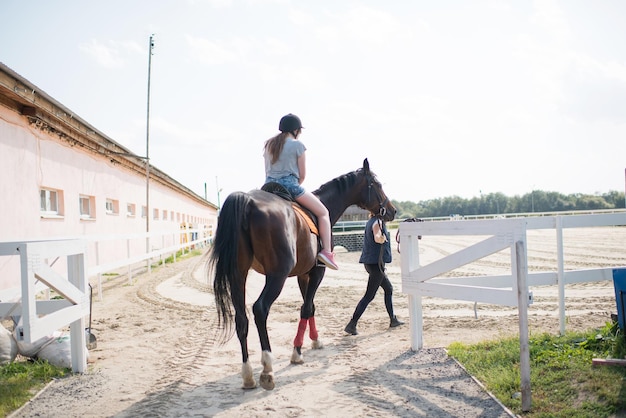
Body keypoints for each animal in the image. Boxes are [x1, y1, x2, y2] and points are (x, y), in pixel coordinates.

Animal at [210, 158, 394, 390]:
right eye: (377, 185)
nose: (392, 211)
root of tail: (248, 201)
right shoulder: (317, 271)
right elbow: (306, 308)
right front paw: (297, 352)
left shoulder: (303, 274)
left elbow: (310, 307)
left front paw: (315, 340)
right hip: (276, 275)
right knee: (260, 309)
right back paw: (267, 369)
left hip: (238, 275)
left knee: (241, 319)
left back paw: (248, 375)